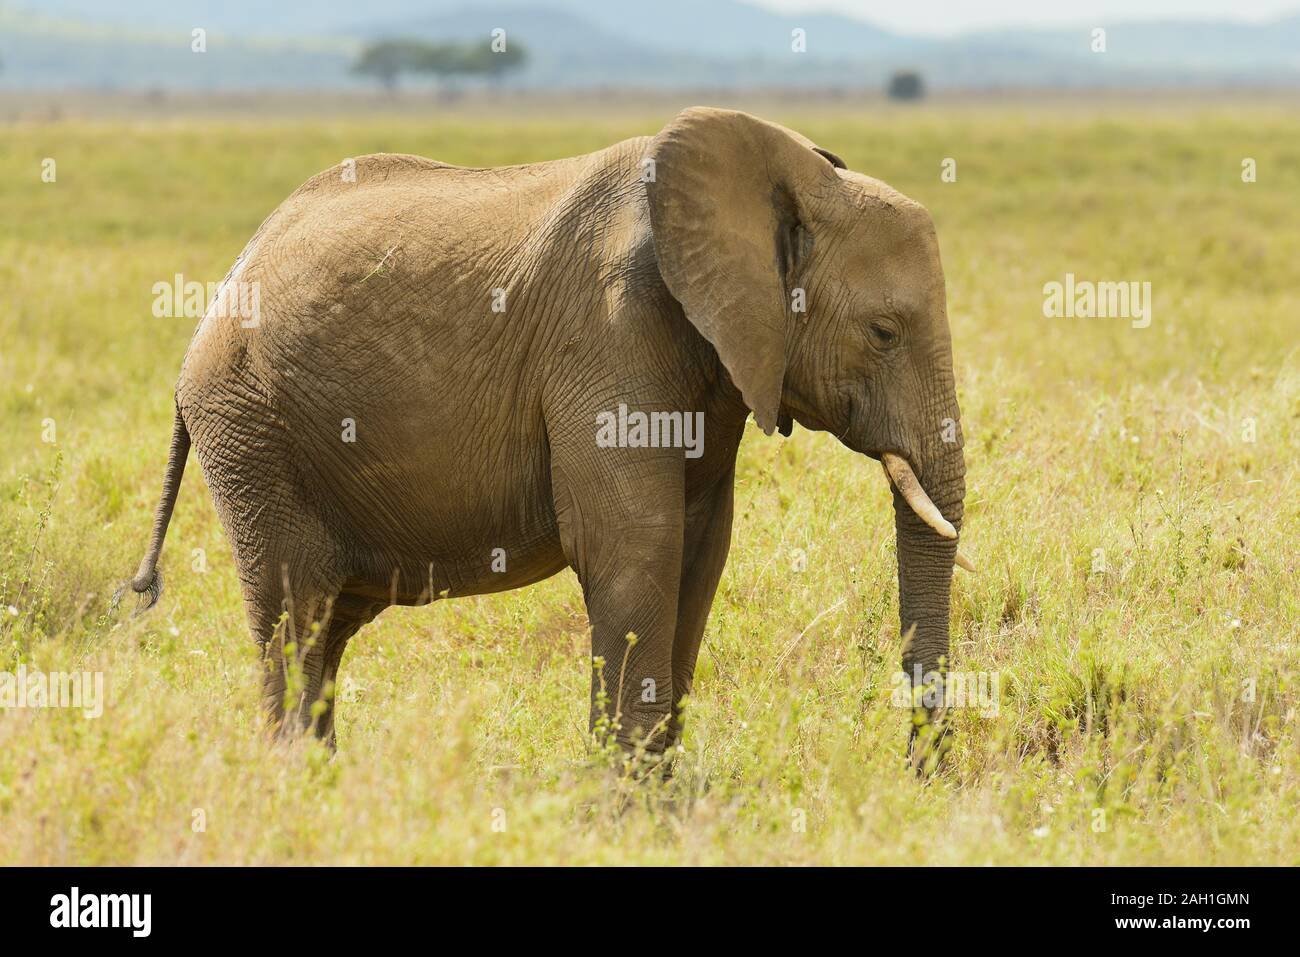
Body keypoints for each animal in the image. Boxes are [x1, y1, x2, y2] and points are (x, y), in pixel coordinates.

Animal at [124, 106, 967, 764]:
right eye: (884, 332)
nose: (917, 775)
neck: (790, 174)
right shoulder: (607, 333)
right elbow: (635, 547)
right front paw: (629, 809)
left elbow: (699, 553)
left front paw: (656, 795)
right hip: (250, 429)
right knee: (292, 612)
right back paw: (296, 780)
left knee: (328, 626)